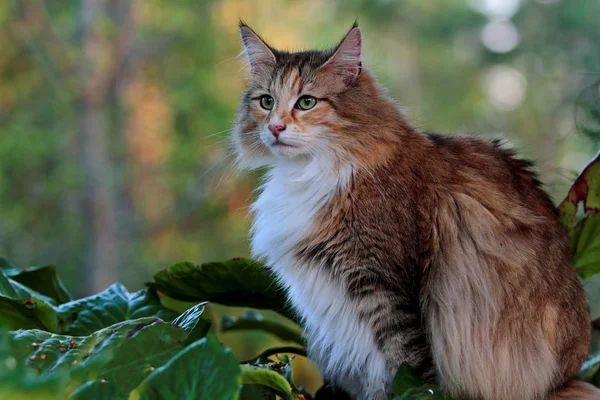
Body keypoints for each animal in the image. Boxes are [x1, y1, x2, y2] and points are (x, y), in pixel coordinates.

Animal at [230, 21, 596, 400]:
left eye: (306, 102)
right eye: (267, 101)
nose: (275, 127)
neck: (310, 171)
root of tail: (567, 377)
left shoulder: (386, 288)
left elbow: (410, 369)